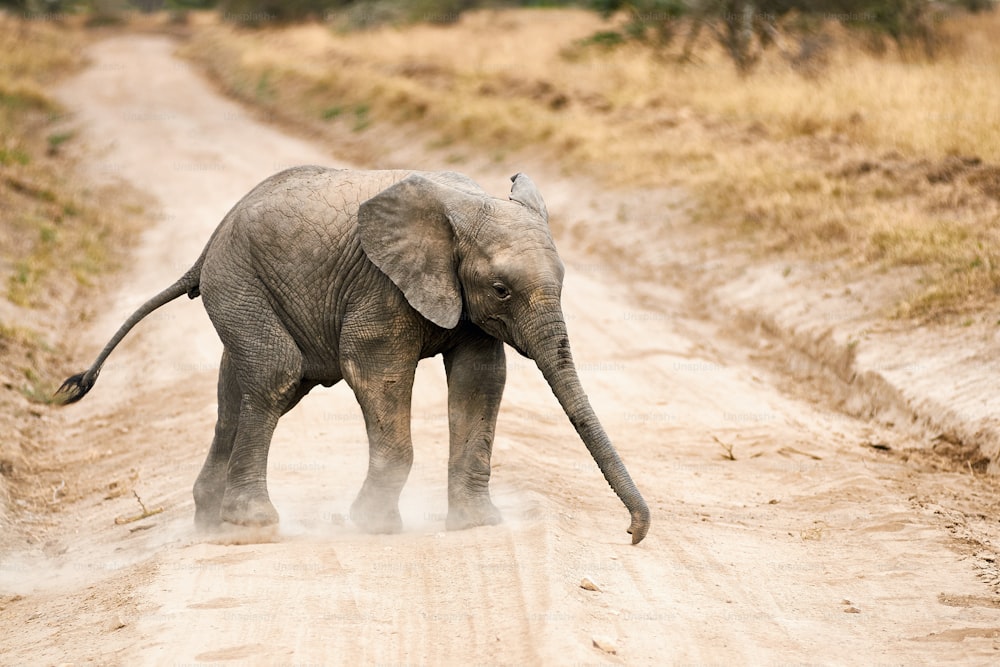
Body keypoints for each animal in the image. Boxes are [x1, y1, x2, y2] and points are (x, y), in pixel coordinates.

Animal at [58, 167, 648, 544]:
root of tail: (206, 249)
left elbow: (481, 379)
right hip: (238, 280)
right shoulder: (380, 285)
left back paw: (211, 523)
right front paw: (376, 526)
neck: (465, 204)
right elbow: (374, 368)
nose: (633, 532)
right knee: (275, 375)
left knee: (241, 390)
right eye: (502, 290)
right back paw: (251, 526)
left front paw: (478, 525)